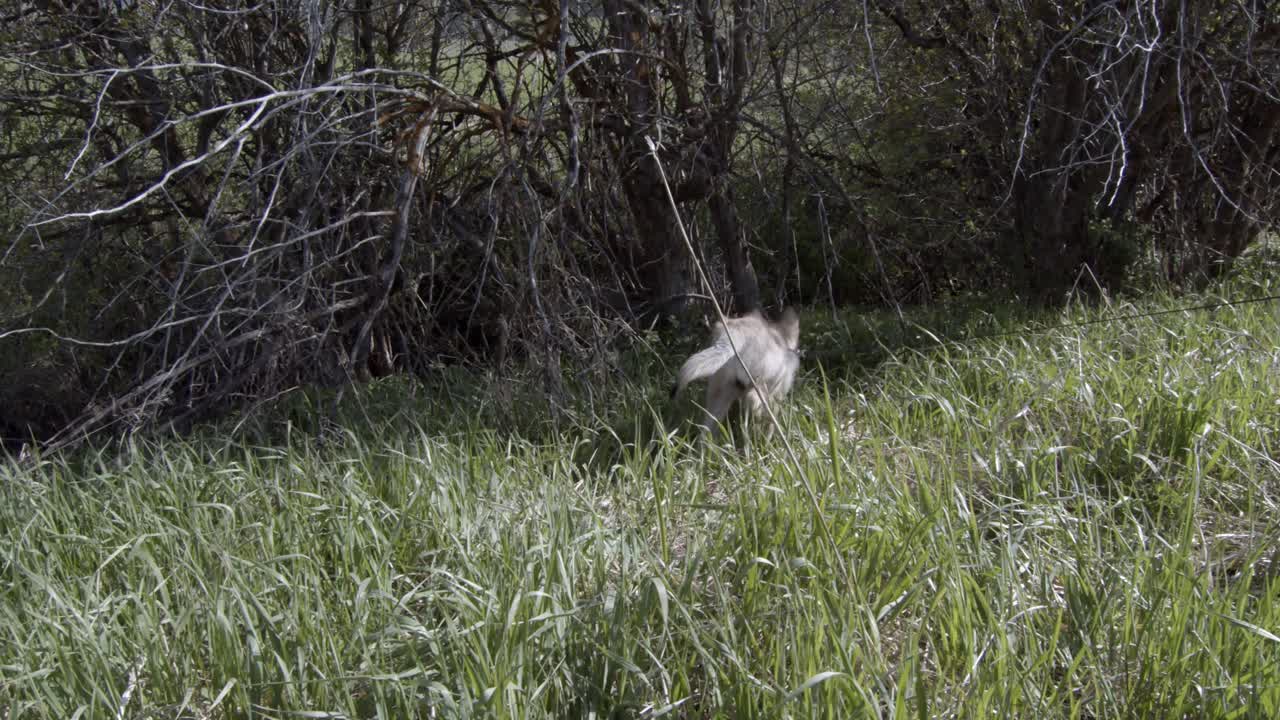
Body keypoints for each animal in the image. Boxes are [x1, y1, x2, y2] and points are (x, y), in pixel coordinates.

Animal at [671, 307, 801, 443]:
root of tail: (734, 335)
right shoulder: (776, 396)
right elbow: (770, 424)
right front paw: (767, 440)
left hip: (718, 394)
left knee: (706, 431)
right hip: (759, 387)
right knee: (754, 403)